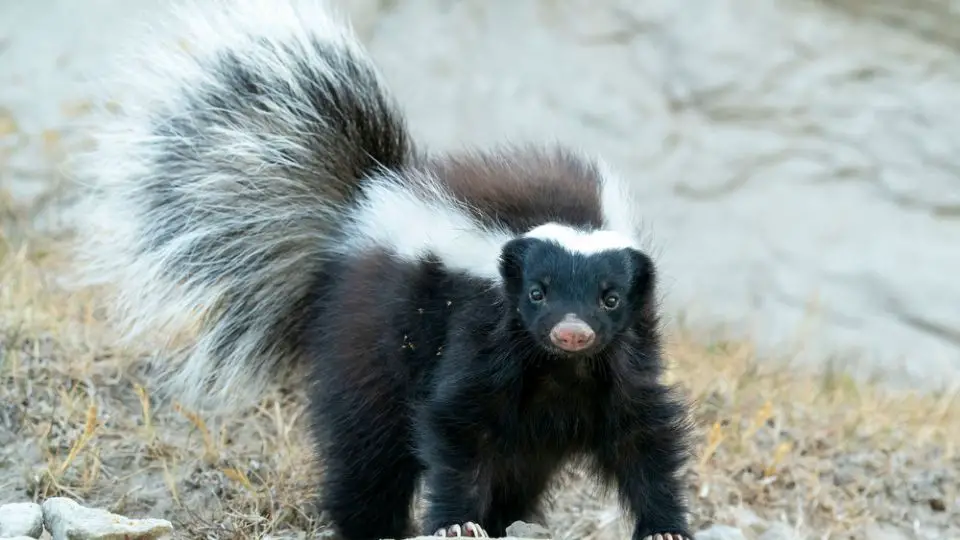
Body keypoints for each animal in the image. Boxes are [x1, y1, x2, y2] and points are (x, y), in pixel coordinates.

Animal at [71, 1, 692, 540]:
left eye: (610, 298)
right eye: (537, 293)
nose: (572, 331)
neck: (560, 371)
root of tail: (364, 204)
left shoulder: (622, 360)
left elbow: (643, 436)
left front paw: (664, 528)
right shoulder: (479, 337)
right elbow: (454, 427)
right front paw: (455, 523)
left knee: (516, 470)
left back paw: (505, 520)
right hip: (366, 345)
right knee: (367, 453)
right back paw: (372, 525)